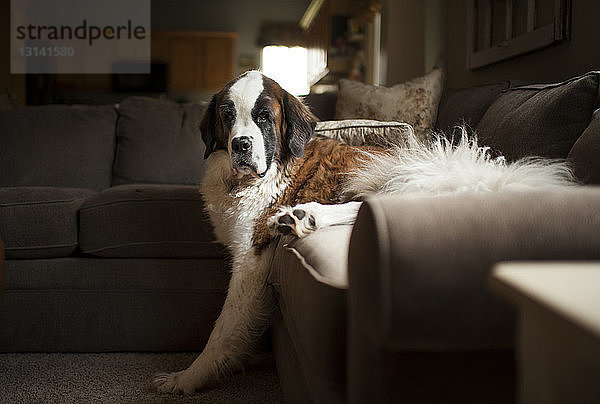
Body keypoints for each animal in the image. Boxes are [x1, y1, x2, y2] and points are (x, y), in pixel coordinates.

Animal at [154, 70, 572, 394]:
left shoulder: (251, 257)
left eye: (263, 119)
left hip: (387, 176)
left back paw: (306, 216)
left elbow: (225, 326)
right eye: (227, 116)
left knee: (372, 206)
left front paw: (189, 377)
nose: (241, 145)